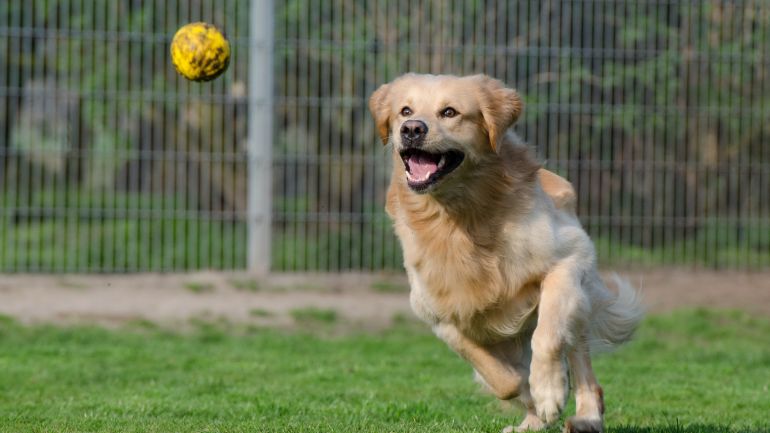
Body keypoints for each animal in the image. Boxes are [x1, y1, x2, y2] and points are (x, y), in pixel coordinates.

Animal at [366, 72, 640, 430]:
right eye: (405, 110)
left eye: (449, 112)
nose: (412, 129)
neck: (459, 217)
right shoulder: (439, 315)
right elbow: (503, 380)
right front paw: (533, 397)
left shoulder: (568, 259)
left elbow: (548, 336)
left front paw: (549, 392)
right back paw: (531, 422)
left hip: (579, 300)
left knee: (581, 363)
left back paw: (585, 417)